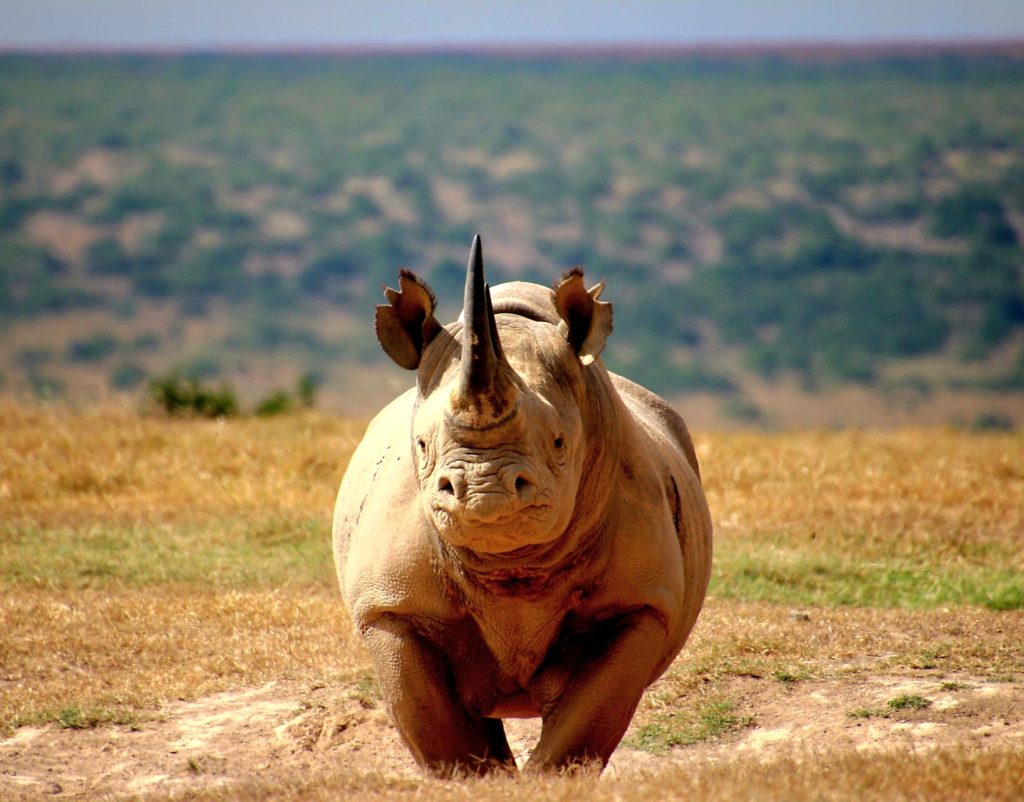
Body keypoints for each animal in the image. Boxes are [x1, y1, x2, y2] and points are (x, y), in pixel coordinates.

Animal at [332, 235, 713, 775]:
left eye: (559, 443)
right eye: (421, 445)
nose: (482, 491)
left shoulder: (637, 604)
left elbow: (579, 734)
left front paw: (544, 781)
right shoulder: (392, 606)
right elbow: (441, 736)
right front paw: (481, 780)